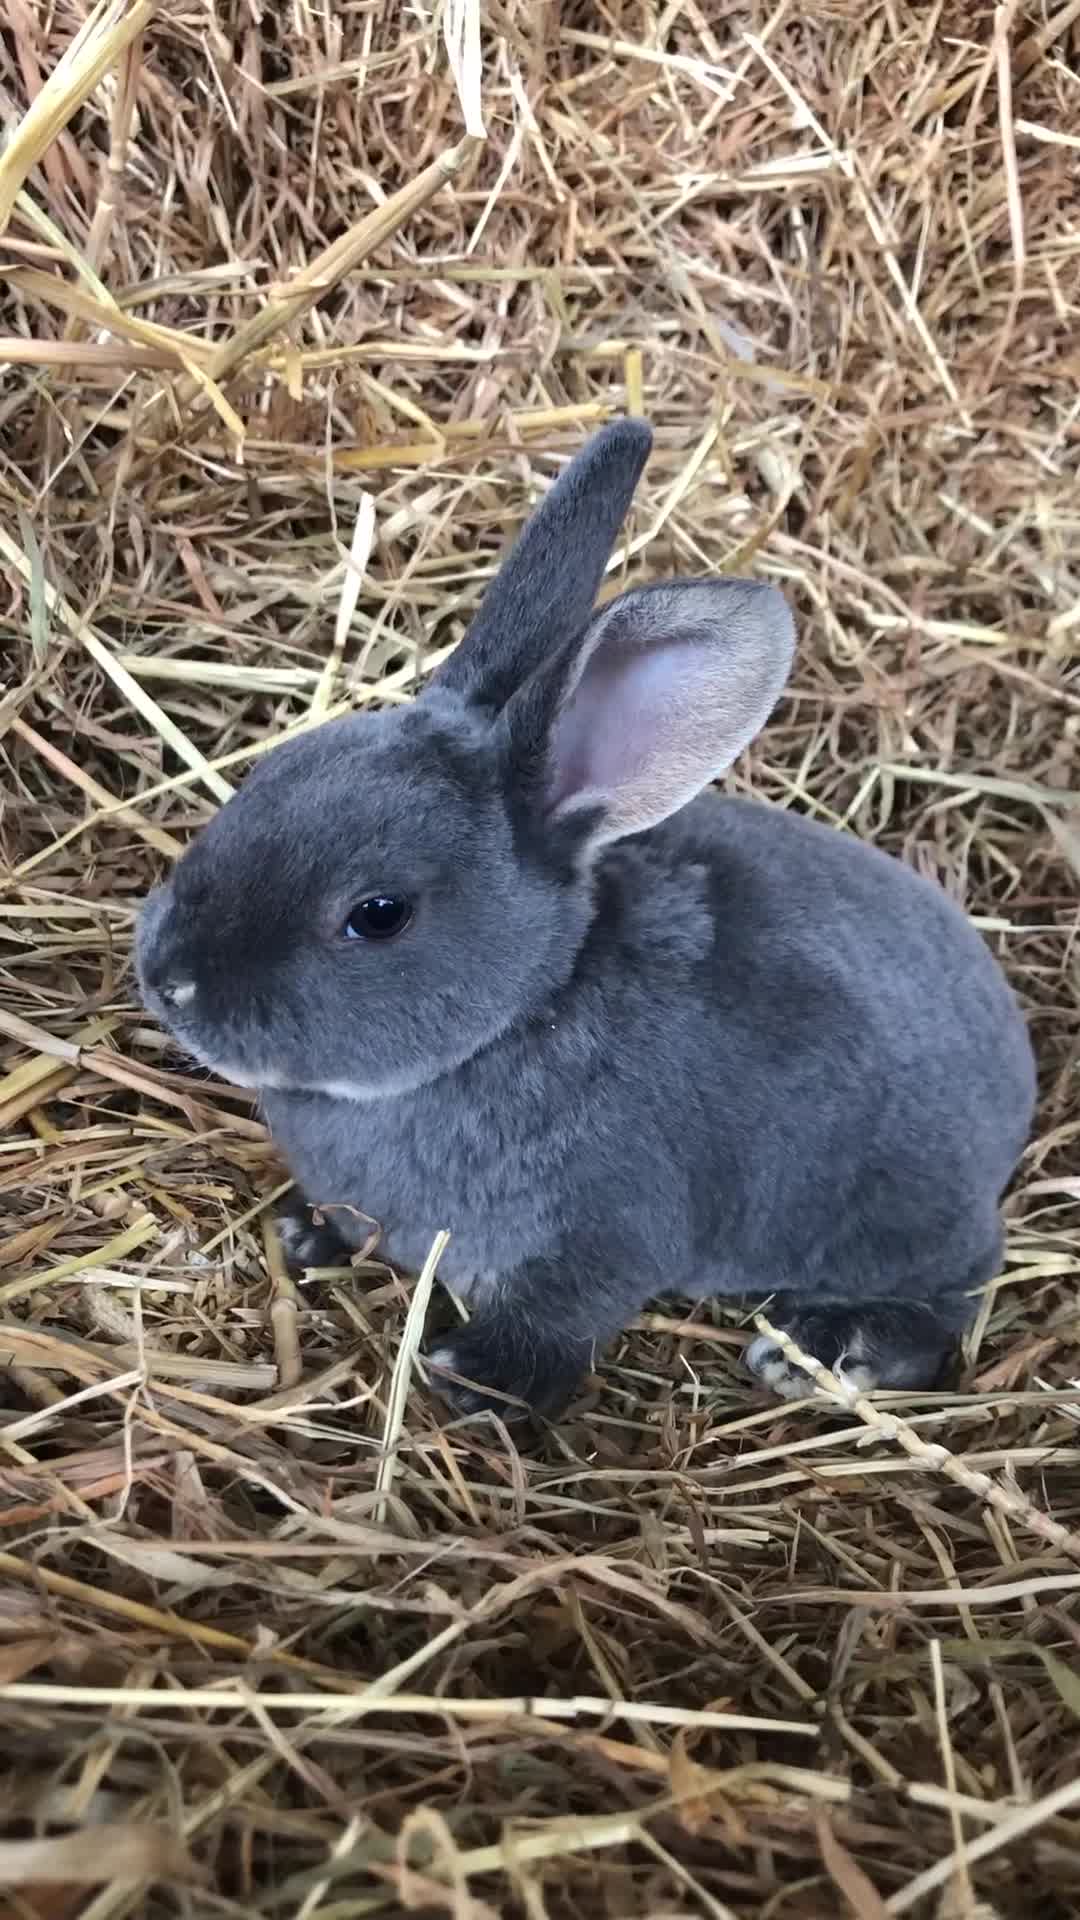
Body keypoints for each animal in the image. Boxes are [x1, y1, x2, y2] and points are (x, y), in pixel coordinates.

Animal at [137, 419, 1036, 1418]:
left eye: (377, 915)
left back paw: (836, 1350)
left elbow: (564, 1317)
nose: (168, 981)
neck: (523, 1014)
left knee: (958, 1290)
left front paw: (476, 1380)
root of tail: (1018, 1073)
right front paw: (305, 1233)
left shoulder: (605, 1236)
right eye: (267, 779)